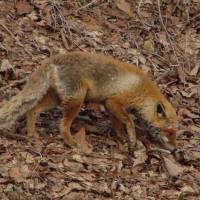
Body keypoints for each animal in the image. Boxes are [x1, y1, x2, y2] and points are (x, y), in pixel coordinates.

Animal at [0, 51, 177, 150]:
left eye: (175, 133)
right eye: (169, 132)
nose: (175, 149)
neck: (142, 91)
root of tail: (53, 59)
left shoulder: (109, 105)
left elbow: (118, 124)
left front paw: (121, 137)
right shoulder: (114, 102)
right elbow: (130, 121)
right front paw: (132, 139)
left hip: (55, 99)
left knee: (32, 110)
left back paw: (31, 134)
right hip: (76, 100)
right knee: (62, 126)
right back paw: (72, 144)